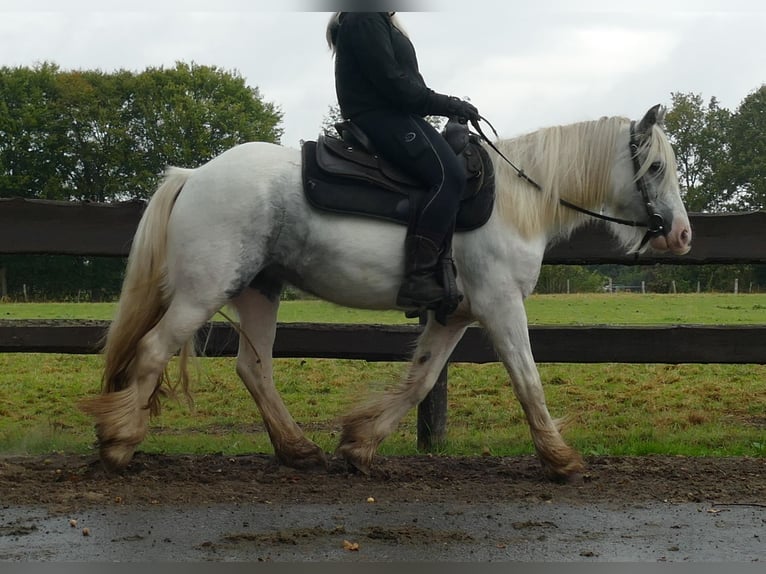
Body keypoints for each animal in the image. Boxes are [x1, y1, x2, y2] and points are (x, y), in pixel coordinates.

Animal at [84, 107, 696, 482]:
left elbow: (420, 380)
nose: (683, 235)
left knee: (253, 368)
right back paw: (118, 441)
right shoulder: (500, 305)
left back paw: (297, 449)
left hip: (259, 289)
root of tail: (195, 174)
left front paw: (360, 445)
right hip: (203, 290)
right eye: (656, 167)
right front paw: (561, 459)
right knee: (153, 351)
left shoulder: (455, 316)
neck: (517, 200)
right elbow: (527, 380)